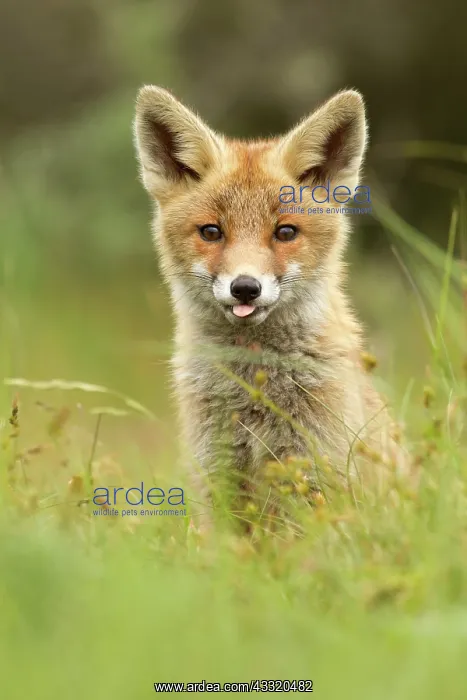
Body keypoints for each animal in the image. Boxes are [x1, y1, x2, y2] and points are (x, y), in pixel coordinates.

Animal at [134, 86, 399, 504]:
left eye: (285, 232)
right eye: (211, 232)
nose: (245, 287)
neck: (255, 390)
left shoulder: (318, 472)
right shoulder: (218, 476)